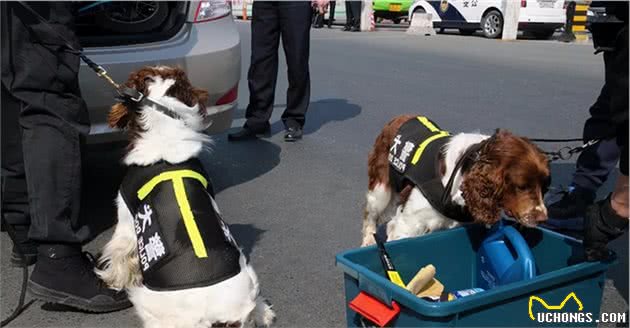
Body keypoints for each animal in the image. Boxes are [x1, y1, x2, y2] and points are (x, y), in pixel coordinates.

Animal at [97, 66, 276, 328]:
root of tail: (214, 318)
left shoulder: (127, 218)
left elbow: (120, 253)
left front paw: (113, 279)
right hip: (247, 273)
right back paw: (263, 311)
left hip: (147, 300)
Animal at [362, 115, 552, 246]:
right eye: (522, 186)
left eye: (544, 186)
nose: (543, 218)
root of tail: (401, 117)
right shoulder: (408, 226)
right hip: (380, 189)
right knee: (370, 215)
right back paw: (368, 241)